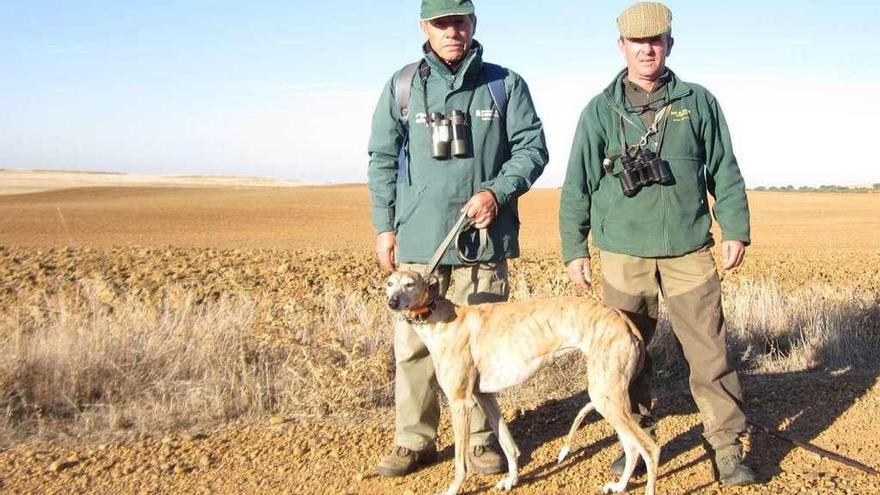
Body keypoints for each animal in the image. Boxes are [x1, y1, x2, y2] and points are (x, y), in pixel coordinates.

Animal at [384, 272, 660, 495]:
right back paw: (620, 486)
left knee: (650, 448)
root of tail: (625, 322)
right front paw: (511, 480)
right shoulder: (485, 396)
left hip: (606, 396)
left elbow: (460, 461)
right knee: (632, 447)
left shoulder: (460, 401)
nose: (392, 303)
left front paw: (453, 489)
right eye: (389, 284)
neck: (441, 319)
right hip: (609, 399)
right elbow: (507, 443)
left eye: (409, 284)